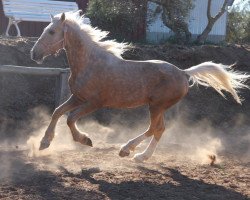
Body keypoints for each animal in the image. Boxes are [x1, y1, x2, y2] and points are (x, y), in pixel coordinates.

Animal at [31, 11, 248, 162]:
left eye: (51, 31)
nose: (34, 54)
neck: (90, 63)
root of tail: (183, 72)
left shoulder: (95, 102)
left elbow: (70, 118)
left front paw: (85, 140)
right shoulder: (78, 97)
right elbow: (58, 112)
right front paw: (44, 142)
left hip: (157, 106)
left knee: (154, 128)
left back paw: (126, 150)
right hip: (158, 107)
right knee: (159, 129)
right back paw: (142, 156)